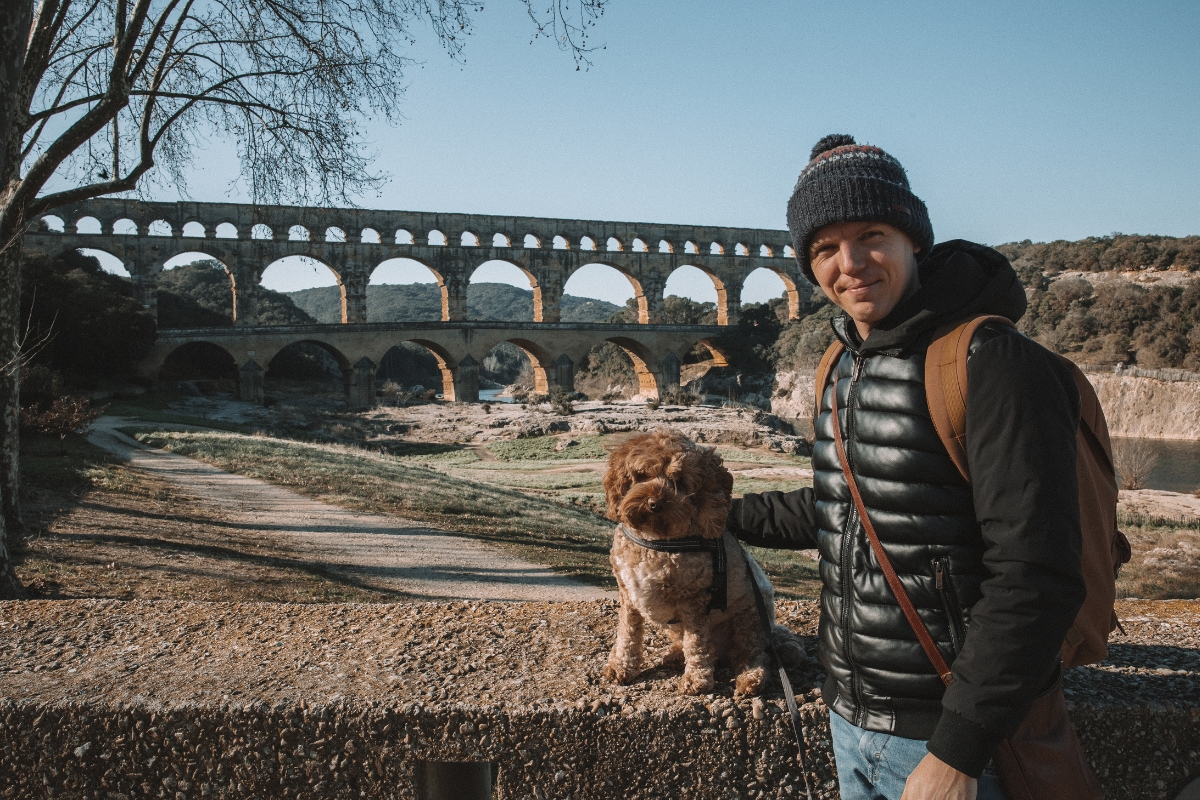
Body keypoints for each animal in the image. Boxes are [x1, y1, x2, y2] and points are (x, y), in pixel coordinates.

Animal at [600, 429, 796, 695]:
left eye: (680, 482)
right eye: (642, 475)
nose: (654, 504)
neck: (655, 540)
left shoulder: (694, 601)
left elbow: (697, 643)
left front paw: (696, 679)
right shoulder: (628, 595)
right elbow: (627, 634)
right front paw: (621, 666)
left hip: (750, 618)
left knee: (753, 655)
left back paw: (750, 678)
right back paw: (675, 655)